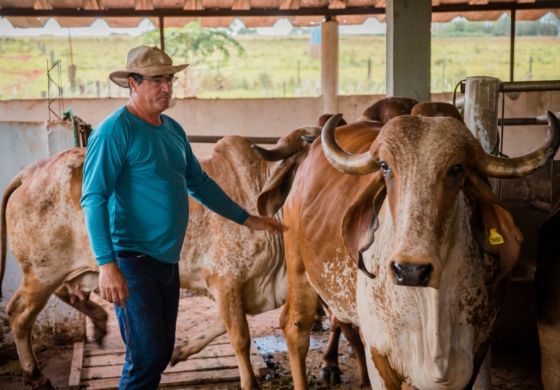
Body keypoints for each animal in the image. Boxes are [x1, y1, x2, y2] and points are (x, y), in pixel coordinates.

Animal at [256, 103, 556, 386]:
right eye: (385, 167)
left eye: (456, 168)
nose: (410, 270)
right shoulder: (380, 353)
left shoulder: (478, 348)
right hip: (300, 270)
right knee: (295, 327)